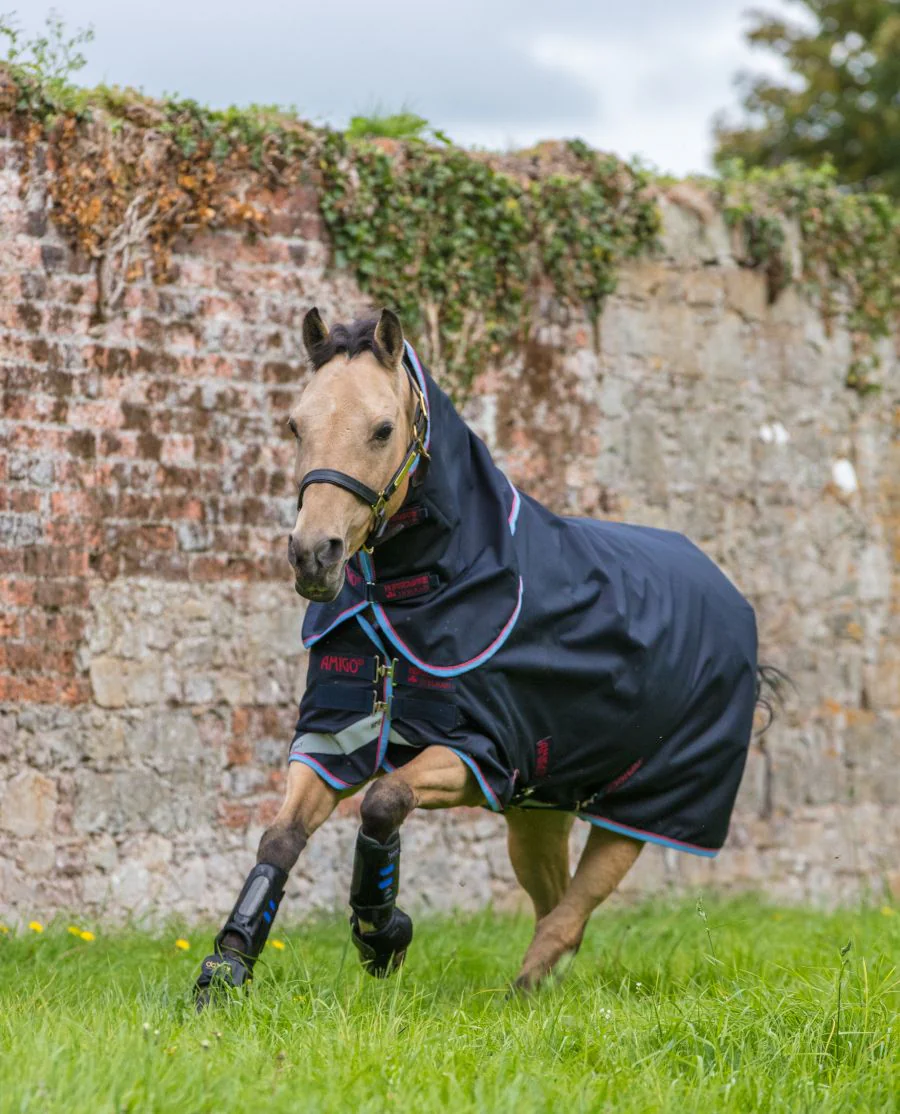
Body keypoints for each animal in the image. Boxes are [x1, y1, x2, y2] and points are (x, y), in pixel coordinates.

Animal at [195, 307, 776, 1004]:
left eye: (382, 429)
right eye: (294, 424)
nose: (315, 555)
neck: (424, 593)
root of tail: (730, 595)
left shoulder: (478, 754)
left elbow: (384, 801)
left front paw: (383, 934)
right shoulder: (334, 739)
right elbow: (280, 838)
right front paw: (227, 967)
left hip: (646, 809)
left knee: (572, 912)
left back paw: (523, 993)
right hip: (538, 812)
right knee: (555, 906)